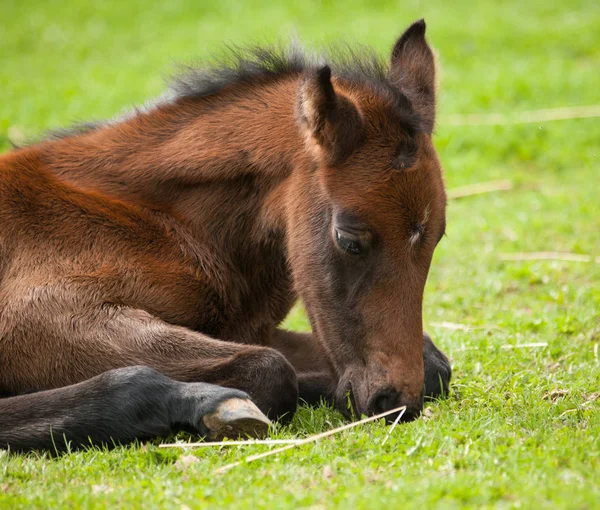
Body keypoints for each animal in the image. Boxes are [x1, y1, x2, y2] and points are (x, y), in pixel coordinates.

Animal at [0, 18, 450, 450]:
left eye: (437, 238)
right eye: (349, 239)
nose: (394, 402)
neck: (169, 220)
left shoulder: (246, 329)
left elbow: (435, 363)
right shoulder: (37, 314)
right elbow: (271, 368)